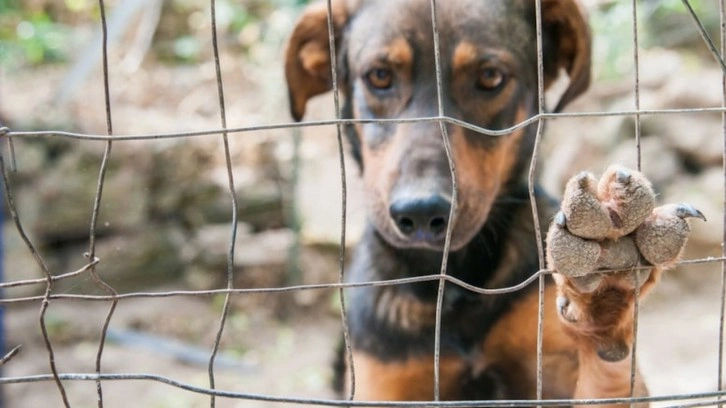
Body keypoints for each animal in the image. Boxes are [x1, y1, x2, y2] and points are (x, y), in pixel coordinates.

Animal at [284, 0, 704, 404]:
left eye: (490, 77)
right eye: (379, 76)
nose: (421, 214)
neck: (454, 279)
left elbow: (606, 375)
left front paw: (608, 280)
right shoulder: (386, 380)